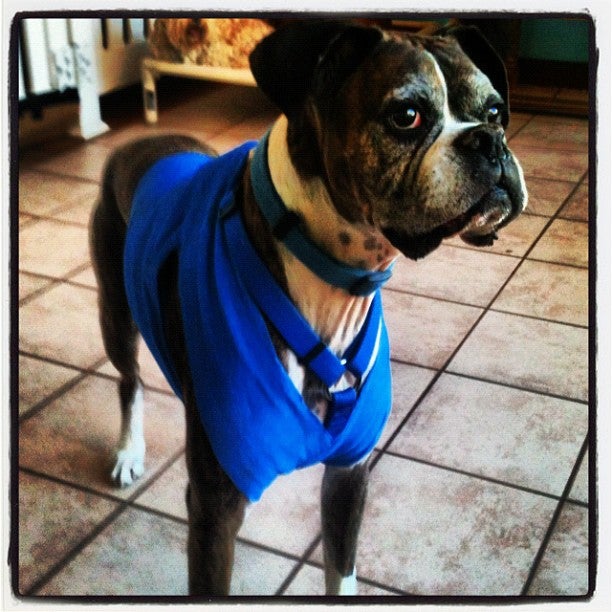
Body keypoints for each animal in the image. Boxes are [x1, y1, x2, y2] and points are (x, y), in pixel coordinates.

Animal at [90, 20, 527, 596]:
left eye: (496, 111)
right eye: (406, 115)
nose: (489, 140)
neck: (330, 286)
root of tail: (136, 142)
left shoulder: (349, 476)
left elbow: (340, 573)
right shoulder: (214, 510)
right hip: (115, 313)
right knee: (129, 380)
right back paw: (128, 452)